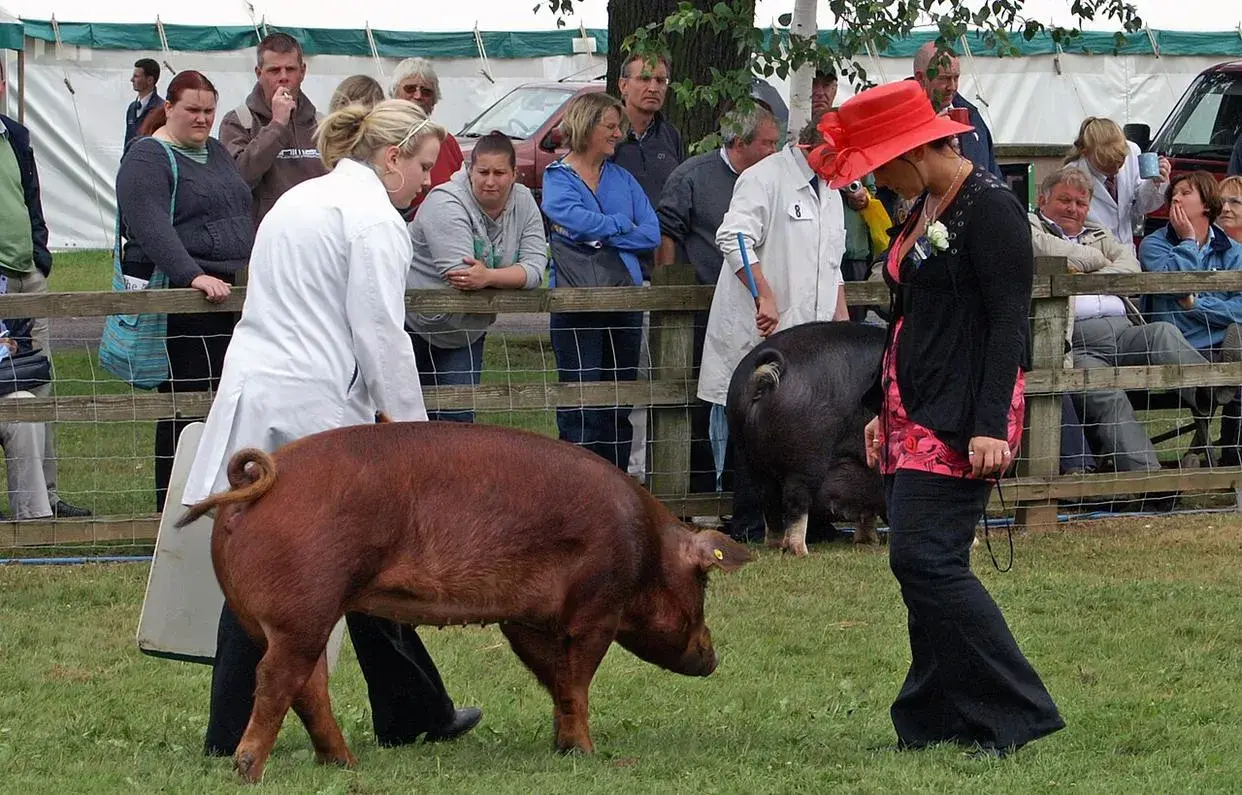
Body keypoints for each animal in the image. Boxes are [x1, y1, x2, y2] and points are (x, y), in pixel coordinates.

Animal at [178, 422, 750, 785]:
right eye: (703, 584)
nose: (715, 659)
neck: (645, 548)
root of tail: (252, 485)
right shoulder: (595, 610)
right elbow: (579, 681)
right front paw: (587, 754)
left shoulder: (524, 620)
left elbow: (560, 683)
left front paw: (564, 748)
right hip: (303, 608)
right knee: (278, 680)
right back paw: (249, 772)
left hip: (276, 616)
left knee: (307, 685)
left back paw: (344, 765)